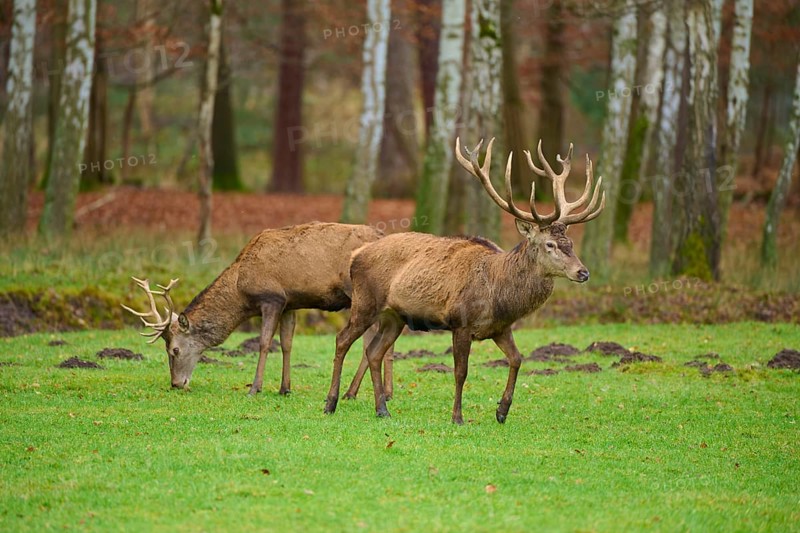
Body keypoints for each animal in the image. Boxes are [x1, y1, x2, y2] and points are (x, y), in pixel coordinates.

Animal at [123, 222, 394, 397]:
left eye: (175, 349)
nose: (176, 384)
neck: (241, 288)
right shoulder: (290, 303)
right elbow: (287, 343)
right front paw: (285, 388)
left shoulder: (271, 298)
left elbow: (264, 343)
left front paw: (255, 388)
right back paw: (382, 393)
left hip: (359, 294)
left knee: (370, 338)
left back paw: (353, 392)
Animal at [323, 138, 605, 424]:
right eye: (550, 244)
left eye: (570, 243)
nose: (583, 272)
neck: (498, 294)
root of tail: (356, 256)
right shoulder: (461, 322)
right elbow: (461, 371)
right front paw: (457, 417)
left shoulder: (500, 327)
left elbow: (517, 359)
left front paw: (502, 411)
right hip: (365, 302)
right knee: (342, 340)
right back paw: (331, 403)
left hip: (395, 317)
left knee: (374, 352)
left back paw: (382, 409)